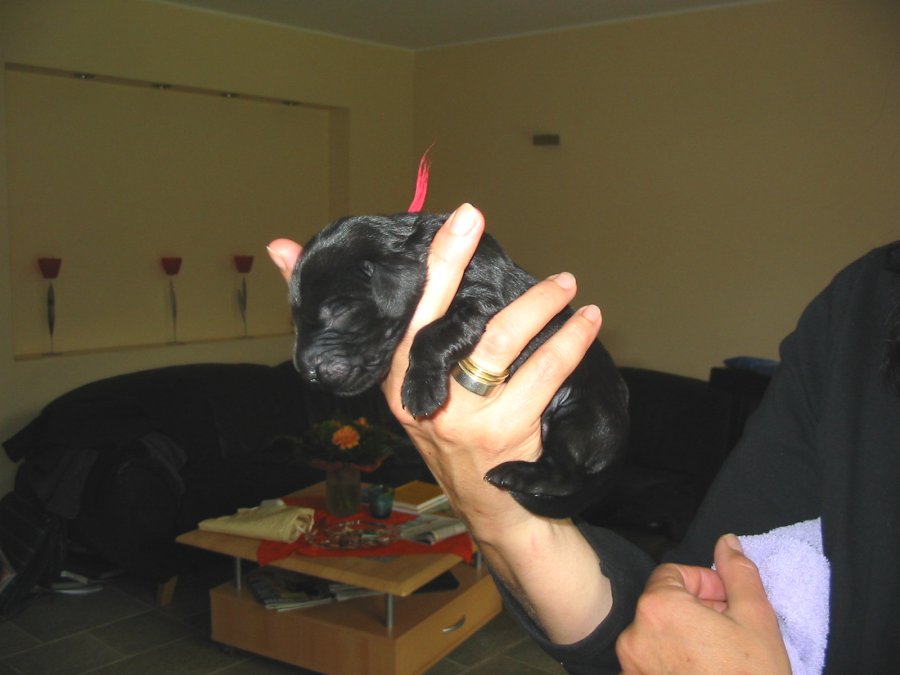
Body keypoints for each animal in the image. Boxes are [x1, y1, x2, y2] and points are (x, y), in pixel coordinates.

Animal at [284, 210, 629, 518]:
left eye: (339, 311)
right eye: (296, 319)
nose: (306, 372)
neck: (417, 245)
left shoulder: (480, 298)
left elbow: (427, 333)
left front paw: (421, 389)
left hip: (582, 415)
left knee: (565, 475)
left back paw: (515, 475)